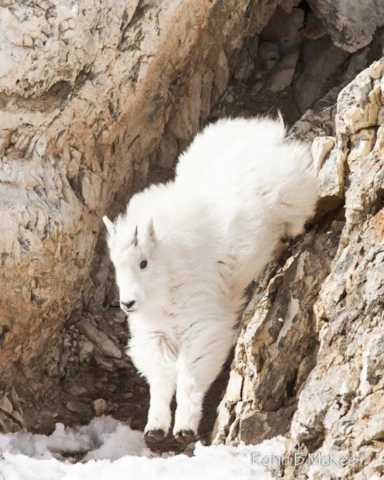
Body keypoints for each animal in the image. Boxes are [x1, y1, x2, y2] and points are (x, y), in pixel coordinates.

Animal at [102, 115, 318, 446]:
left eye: (143, 262)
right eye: (116, 264)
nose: (127, 303)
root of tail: (259, 128)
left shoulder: (201, 322)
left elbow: (191, 376)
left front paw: (184, 429)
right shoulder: (155, 332)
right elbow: (161, 378)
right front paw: (155, 428)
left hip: (292, 196)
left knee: (299, 214)